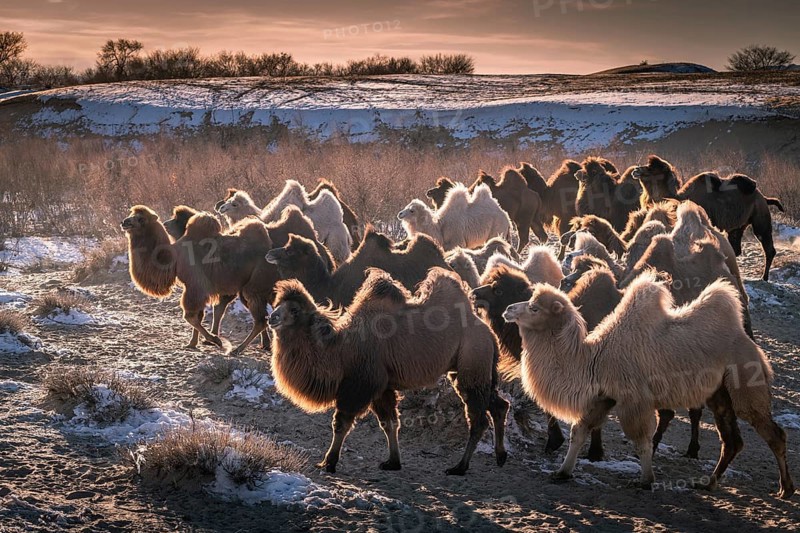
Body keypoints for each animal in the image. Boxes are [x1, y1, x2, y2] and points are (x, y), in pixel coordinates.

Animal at [269, 267, 509, 475]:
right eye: (277, 304)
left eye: (294, 310)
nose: (272, 318)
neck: (341, 350)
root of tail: (488, 332)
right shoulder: (382, 386)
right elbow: (390, 423)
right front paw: (393, 462)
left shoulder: (361, 384)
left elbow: (341, 423)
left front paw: (329, 462)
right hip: (468, 370)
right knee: (499, 404)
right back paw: (500, 456)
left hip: (473, 362)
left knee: (478, 419)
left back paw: (459, 467)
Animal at [504, 273, 794, 498]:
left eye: (534, 308)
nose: (508, 309)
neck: (594, 359)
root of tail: (750, 343)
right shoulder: (604, 397)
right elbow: (580, 430)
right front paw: (562, 472)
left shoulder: (633, 399)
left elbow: (642, 440)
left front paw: (646, 480)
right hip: (719, 394)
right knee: (732, 441)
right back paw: (708, 484)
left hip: (744, 381)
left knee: (772, 432)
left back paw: (786, 489)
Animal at [632, 155, 784, 280]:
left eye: (652, 169)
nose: (636, 170)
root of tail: (764, 197)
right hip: (739, 226)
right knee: (736, 246)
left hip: (760, 217)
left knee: (768, 246)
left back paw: (764, 277)